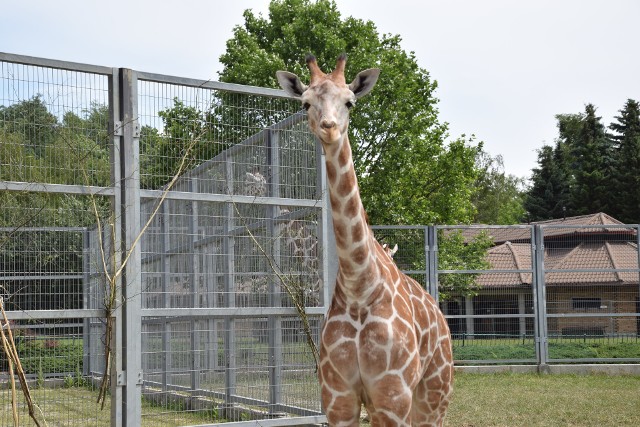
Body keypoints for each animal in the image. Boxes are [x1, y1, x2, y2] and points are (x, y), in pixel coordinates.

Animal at [278, 55, 452, 426]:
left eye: (350, 102)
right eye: (306, 103)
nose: (329, 127)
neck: (360, 287)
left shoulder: (393, 396)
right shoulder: (338, 398)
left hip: (434, 394)